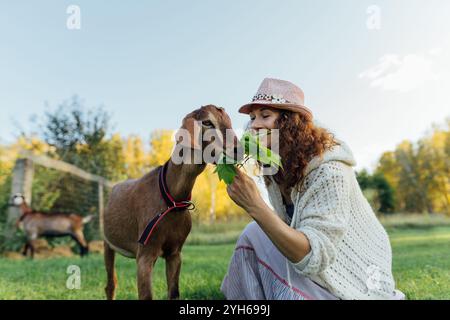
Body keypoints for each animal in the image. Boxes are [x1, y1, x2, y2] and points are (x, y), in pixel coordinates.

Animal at [103, 105, 241, 300]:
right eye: (207, 122)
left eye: (229, 121)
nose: (238, 150)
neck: (171, 200)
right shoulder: (145, 253)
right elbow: (146, 296)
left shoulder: (175, 252)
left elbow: (174, 293)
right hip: (107, 242)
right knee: (111, 284)